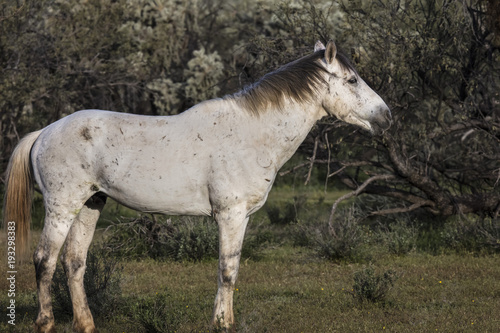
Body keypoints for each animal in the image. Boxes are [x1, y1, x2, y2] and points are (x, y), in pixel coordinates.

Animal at [2, 40, 390, 330]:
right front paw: (221, 323)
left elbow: (231, 267)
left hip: (89, 206)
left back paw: (85, 324)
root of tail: (45, 131)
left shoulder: (242, 218)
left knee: (74, 263)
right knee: (45, 260)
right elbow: (227, 270)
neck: (252, 134)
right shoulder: (230, 215)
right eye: (352, 80)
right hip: (61, 207)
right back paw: (45, 322)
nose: (386, 116)